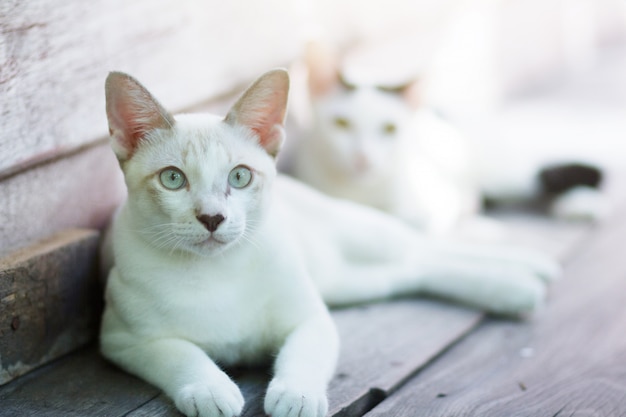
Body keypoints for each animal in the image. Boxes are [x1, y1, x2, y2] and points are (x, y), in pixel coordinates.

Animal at [100, 68, 560, 416]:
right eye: (172, 179)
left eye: (239, 176)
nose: (212, 218)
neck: (217, 272)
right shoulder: (125, 341)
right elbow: (182, 355)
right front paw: (210, 389)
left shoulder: (311, 319)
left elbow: (303, 356)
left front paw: (296, 396)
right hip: (358, 282)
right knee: (421, 269)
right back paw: (515, 286)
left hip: (363, 241)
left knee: (424, 248)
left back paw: (528, 269)